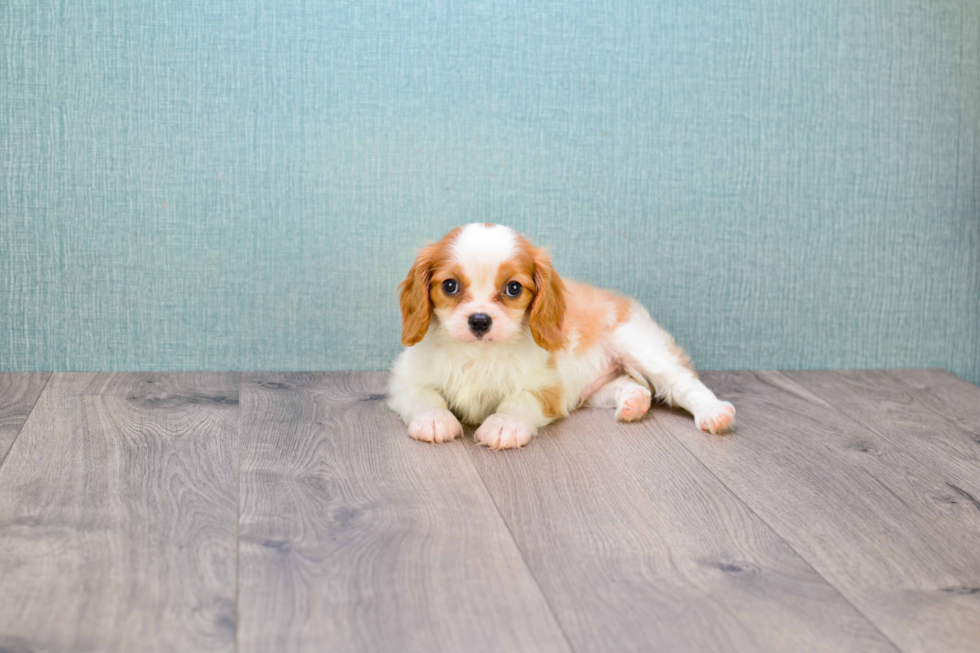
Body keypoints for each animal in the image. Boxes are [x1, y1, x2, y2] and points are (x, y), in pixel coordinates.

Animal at [390, 224, 736, 448]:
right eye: (450, 286)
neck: (479, 353)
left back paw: (714, 413)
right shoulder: (406, 380)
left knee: (682, 383)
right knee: (629, 384)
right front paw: (434, 419)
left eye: (513, 288)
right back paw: (634, 402)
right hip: (593, 389)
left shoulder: (547, 387)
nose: (479, 320)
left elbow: (519, 400)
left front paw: (504, 425)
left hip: (637, 344)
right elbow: (425, 395)